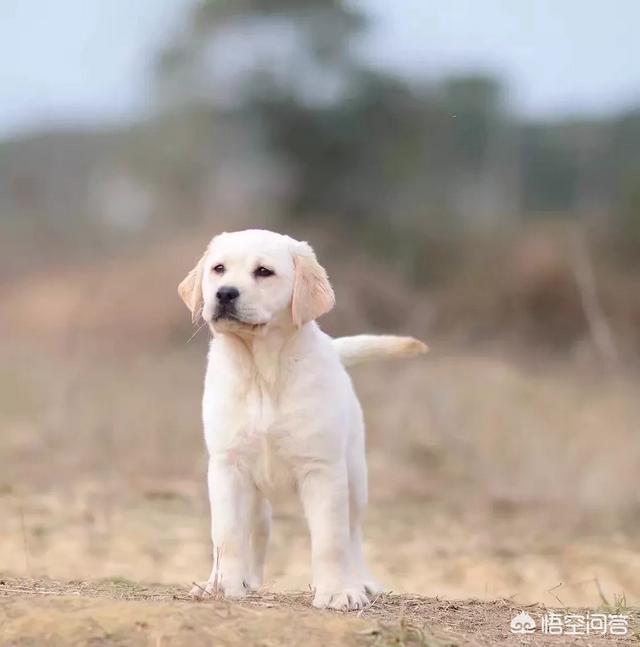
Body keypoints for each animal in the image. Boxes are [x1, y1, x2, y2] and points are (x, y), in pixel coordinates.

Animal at [179, 230, 424, 612]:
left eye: (264, 271)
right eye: (218, 269)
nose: (225, 293)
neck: (262, 370)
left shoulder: (322, 470)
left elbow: (329, 540)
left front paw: (337, 592)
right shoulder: (227, 466)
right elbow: (227, 534)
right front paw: (224, 586)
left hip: (355, 478)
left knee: (352, 534)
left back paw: (362, 582)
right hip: (256, 495)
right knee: (257, 530)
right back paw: (241, 581)